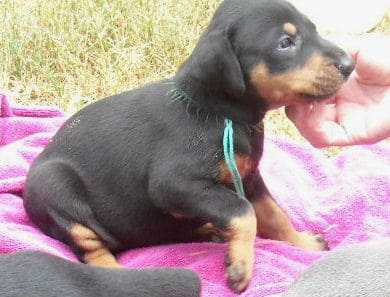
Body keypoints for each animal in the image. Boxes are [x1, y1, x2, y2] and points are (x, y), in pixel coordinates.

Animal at [22, 0, 354, 292]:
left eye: (313, 28)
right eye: (285, 42)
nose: (349, 65)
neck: (219, 113)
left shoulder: (248, 176)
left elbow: (273, 213)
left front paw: (302, 242)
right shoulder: (173, 183)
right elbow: (242, 211)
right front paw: (241, 265)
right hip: (54, 187)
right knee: (92, 250)